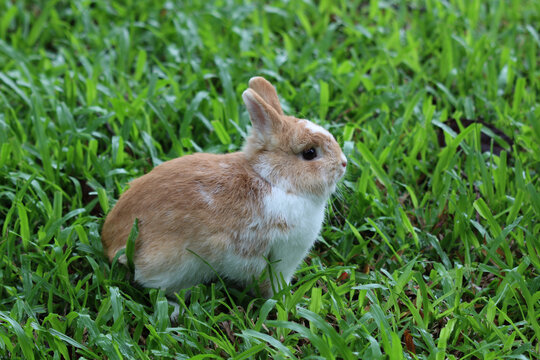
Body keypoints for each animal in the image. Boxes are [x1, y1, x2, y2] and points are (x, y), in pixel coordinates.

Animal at [101, 76, 348, 298]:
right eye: (310, 153)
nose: (344, 163)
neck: (273, 180)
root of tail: (110, 245)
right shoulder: (281, 258)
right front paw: (285, 302)